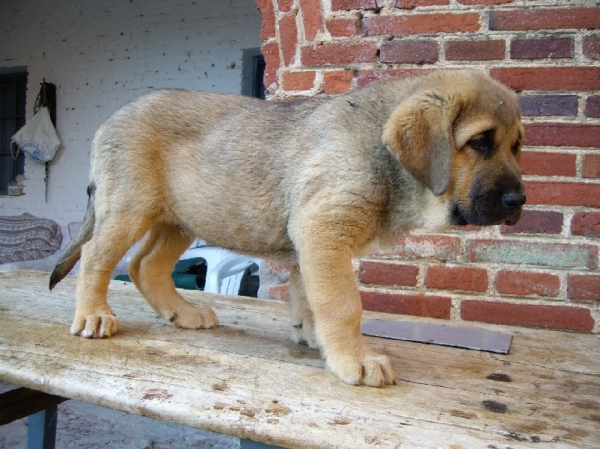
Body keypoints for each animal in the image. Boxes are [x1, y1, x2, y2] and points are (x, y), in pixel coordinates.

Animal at [49, 69, 524, 384]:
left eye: (516, 147)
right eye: (480, 143)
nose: (519, 201)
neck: (380, 151)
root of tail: (108, 120)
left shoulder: (309, 242)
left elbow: (308, 297)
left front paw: (314, 338)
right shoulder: (322, 229)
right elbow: (342, 304)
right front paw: (355, 359)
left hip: (180, 218)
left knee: (145, 265)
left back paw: (182, 313)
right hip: (128, 207)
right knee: (96, 257)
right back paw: (93, 315)